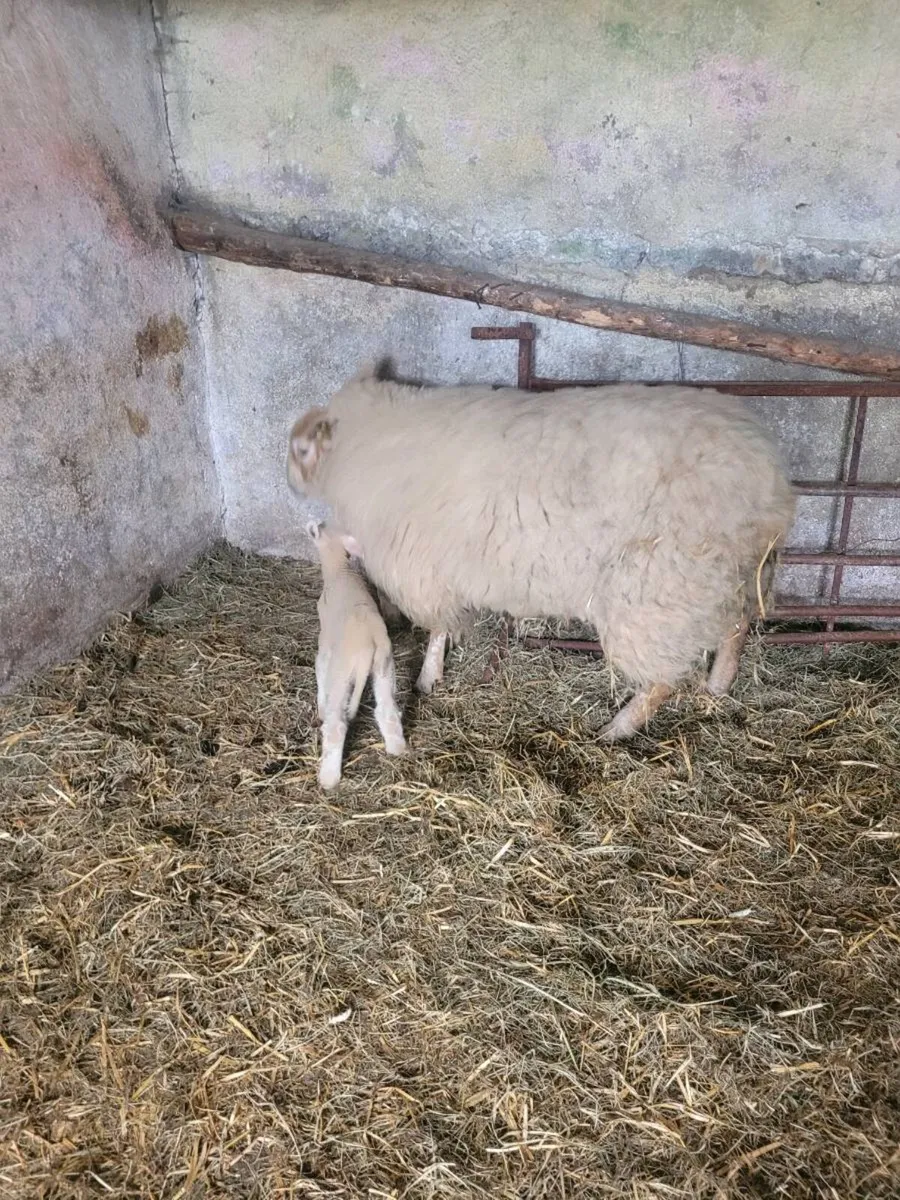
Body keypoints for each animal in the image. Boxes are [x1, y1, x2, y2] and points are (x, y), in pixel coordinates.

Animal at [288, 364, 795, 740]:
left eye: (301, 448)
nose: (289, 483)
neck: (366, 443)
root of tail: (769, 479)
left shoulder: (424, 564)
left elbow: (436, 627)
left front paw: (429, 677)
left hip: (660, 590)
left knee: (664, 677)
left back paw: (618, 727)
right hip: (726, 577)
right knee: (736, 626)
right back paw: (718, 685)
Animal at [306, 519, 407, 788]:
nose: (310, 523)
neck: (339, 569)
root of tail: (369, 645)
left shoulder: (325, 644)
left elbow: (319, 667)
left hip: (343, 674)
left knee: (337, 725)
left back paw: (328, 778)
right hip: (384, 666)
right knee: (387, 709)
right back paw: (397, 749)